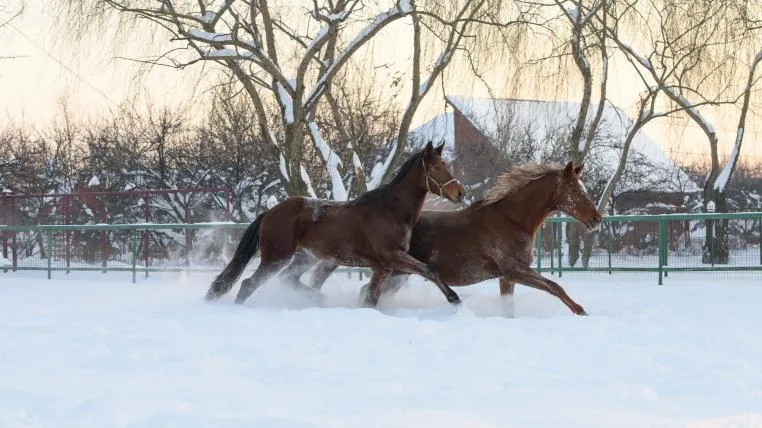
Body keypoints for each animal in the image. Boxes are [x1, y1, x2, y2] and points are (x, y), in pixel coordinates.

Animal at [204, 141, 466, 307]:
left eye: (446, 166)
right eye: (436, 168)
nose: (460, 193)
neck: (390, 212)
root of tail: (269, 213)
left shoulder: (382, 268)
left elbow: (371, 299)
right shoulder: (391, 257)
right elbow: (429, 270)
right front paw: (454, 299)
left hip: (305, 257)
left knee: (288, 279)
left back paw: (319, 299)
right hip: (276, 258)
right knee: (248, 284)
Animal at [294, 160, 602, 315]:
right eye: (576, 191)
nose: (596, 219)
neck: (512, 219)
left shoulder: (507, 276)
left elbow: (511, 305)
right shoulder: (514, 270)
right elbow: (554, 286)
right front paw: (581, 311)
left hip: (397, 273)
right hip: (395, 270)